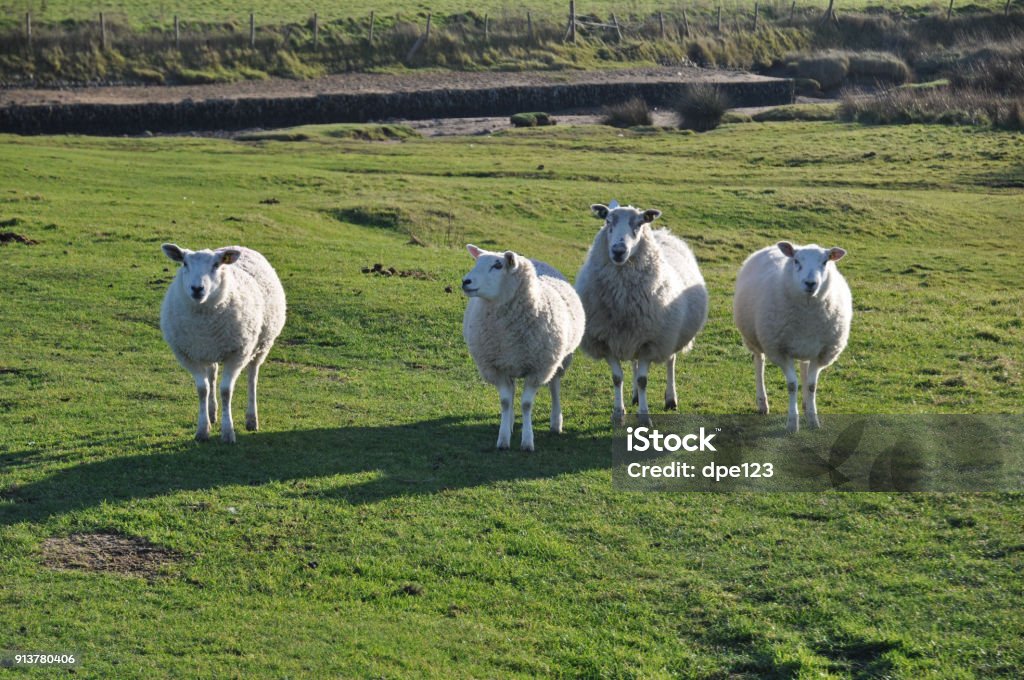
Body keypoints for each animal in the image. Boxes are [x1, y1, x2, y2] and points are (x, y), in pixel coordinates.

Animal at [159, 241, 288, 444]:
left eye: (216, 265)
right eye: (185, 263)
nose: (197, 288)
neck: (204, 322)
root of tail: (238, 245)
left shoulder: (237, 353)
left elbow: (226, 391)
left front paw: (228, 432)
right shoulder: (189, 355)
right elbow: (202, 389)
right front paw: (203, 430)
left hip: (261, 346)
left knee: (252, 377)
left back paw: (252, 419)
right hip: (209, 350)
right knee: (212, 375)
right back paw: (212, 413)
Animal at [458, 244, 581, 450]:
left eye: (497, 266)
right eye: (477, 263)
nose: (465, 282)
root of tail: (534, 259)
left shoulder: (538, 369)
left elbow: (526, 405)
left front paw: (527, 441)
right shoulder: (496, 366)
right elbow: (505, 401)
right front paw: (503, 438)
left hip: (560, 359)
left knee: (555, 387)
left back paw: (556, 422)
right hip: (511, 362)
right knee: (513, 391)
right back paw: (510, 423)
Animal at [577, 201, 712, 426]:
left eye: (639, 224)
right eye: (607, 221)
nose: (618, 251)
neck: (622, 300)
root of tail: (663, 232)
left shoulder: (651, 341)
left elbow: (643, 380)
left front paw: (644, 416)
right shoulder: (606, 340)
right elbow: (617, 378)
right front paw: (618, 413)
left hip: (669, 335)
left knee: (670, 361)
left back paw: (670, 399)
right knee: (633, 362)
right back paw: (633, 397)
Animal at [733, 241, 851, 432]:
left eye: (825, 262)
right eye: (796, 261)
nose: (810, 283)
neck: (807, 313)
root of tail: (770, 247)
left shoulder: (822, 353)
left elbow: (811, 385)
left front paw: (813, 419)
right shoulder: (780, 351)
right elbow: (791, 385)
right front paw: (792, 423)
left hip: (806, 346)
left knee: (803, 366)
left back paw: (805, 403)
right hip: (755, 339)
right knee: (759, 362)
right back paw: (762, 403)